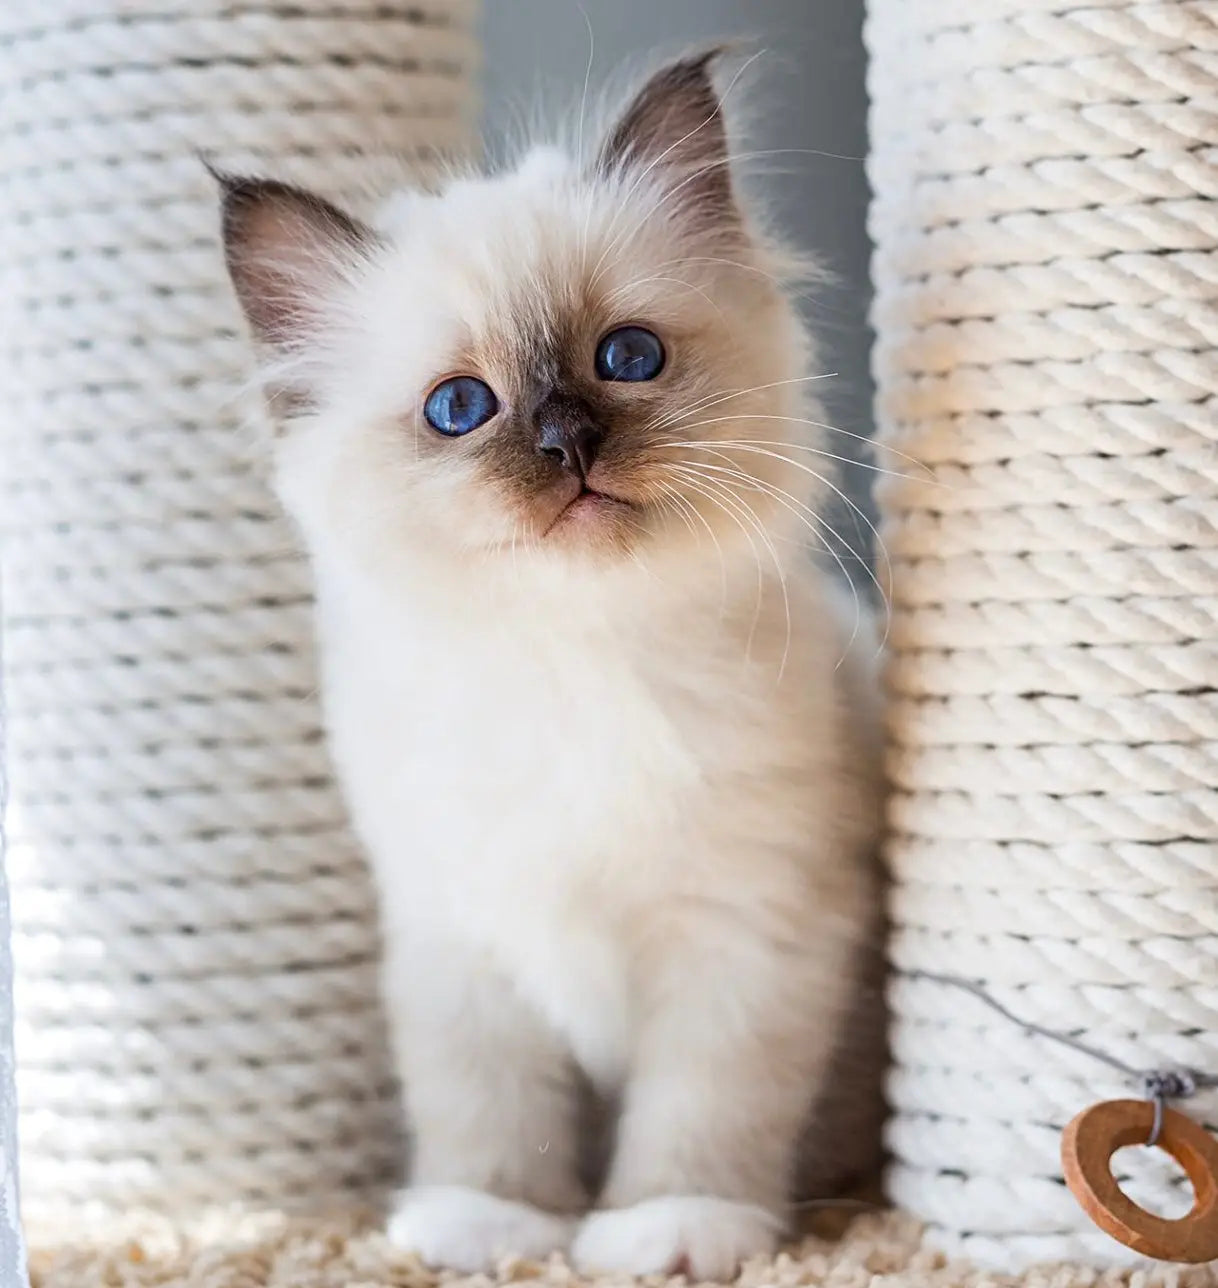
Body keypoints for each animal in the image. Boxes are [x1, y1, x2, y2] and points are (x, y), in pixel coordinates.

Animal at [220, 47, 880, 1277]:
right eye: (459, 407)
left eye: (627, 358)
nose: (567, 440)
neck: (573, 665)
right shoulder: (462, 937)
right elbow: (489, 1108)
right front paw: (493, 1226)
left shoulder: (748, 929)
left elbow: (703, 1106)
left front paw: (668, 1229)